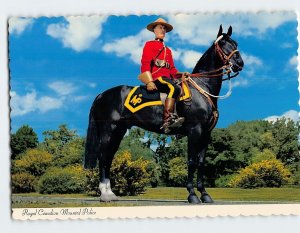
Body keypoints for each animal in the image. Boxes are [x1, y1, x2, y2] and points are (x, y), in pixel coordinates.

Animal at [84, 26, 244, 204]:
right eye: (223, 44)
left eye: (235, 43)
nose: (239, 63)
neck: (202, 89)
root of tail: (102, 94)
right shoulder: (194, 131)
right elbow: (191, 162)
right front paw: (192, 195)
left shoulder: (206, 134)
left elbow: (201, 163)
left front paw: (204, 194)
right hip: (108, 130)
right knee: (103, 156)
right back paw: (105, 194)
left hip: (118, 132)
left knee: (109, 157)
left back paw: (110, 193)